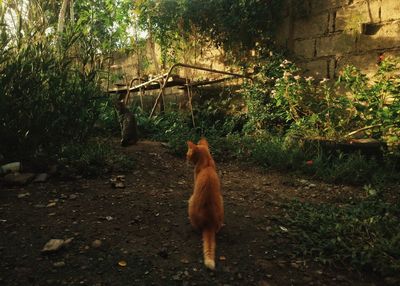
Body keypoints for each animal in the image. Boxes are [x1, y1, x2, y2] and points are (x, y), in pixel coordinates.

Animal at [186, 139, 223, 270]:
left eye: (188, 153)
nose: (186, 157)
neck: (206, 164)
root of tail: (209, 223)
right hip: (221, 201)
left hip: (191, 200)